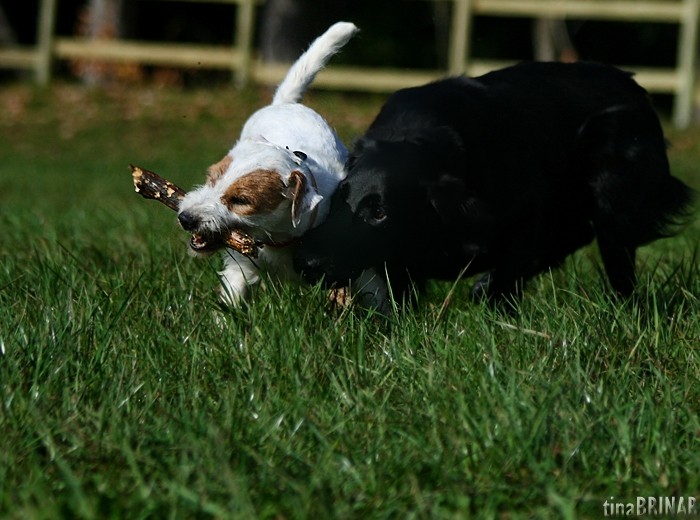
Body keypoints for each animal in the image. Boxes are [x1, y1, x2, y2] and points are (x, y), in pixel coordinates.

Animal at [178, 21, 358, 304]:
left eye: (241, 200)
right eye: (211, 179)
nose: (186, 218)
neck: (280, 239)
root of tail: (285, 103)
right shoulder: (241, 267)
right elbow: (232, 296)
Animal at [296, 63, 696, 310]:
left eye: (379, 212)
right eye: (339, 200)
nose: (308, 262)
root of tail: (635, 85)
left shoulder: (526, 207)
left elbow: (509, 276)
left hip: (612, 182)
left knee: (613, 257)